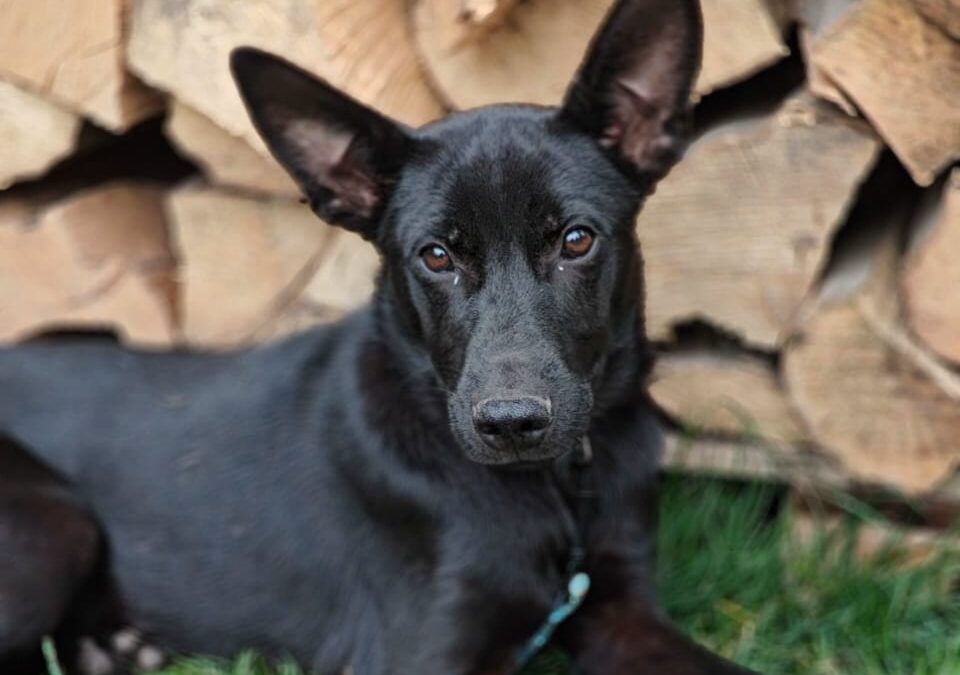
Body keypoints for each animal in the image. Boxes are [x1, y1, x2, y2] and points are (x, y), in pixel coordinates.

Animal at [0, 2, 756, 672]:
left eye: (576, 240)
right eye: (436, 256)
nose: (512, 423)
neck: (558, 493)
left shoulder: (621, 610)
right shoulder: (420, 653)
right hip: (54, 524)